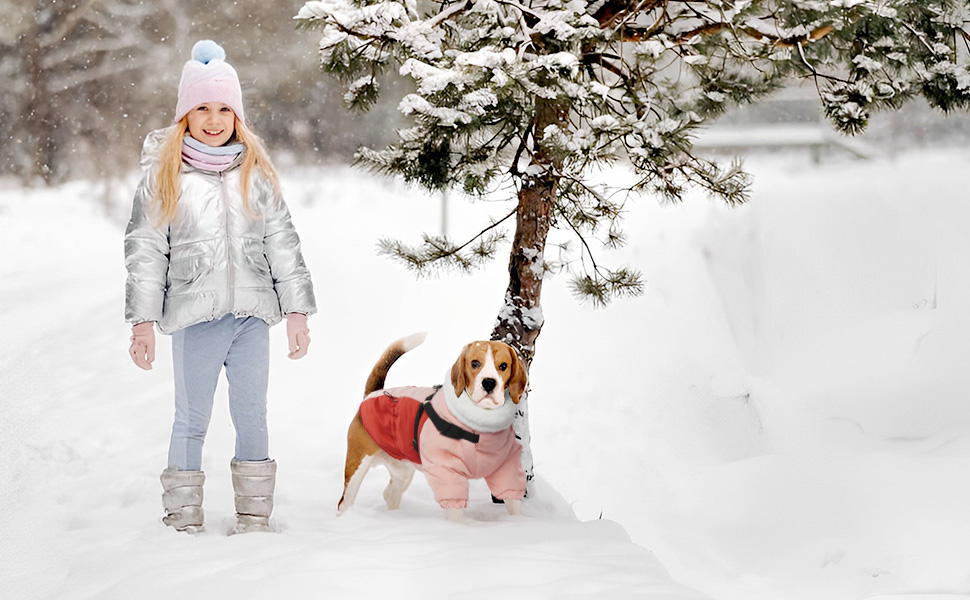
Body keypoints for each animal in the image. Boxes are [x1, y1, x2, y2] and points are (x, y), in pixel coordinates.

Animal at [336, 332, 524, 520]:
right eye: (475, 363)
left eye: (503, 365)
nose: (489, 383)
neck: (480, 423)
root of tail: (374, 393)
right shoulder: (446, 471)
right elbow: (455, 509)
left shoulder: (506, 466)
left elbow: (512, 500)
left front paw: (518, 521)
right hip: (356, 468)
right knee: (344, 502)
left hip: (402, 471)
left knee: (390, 494)